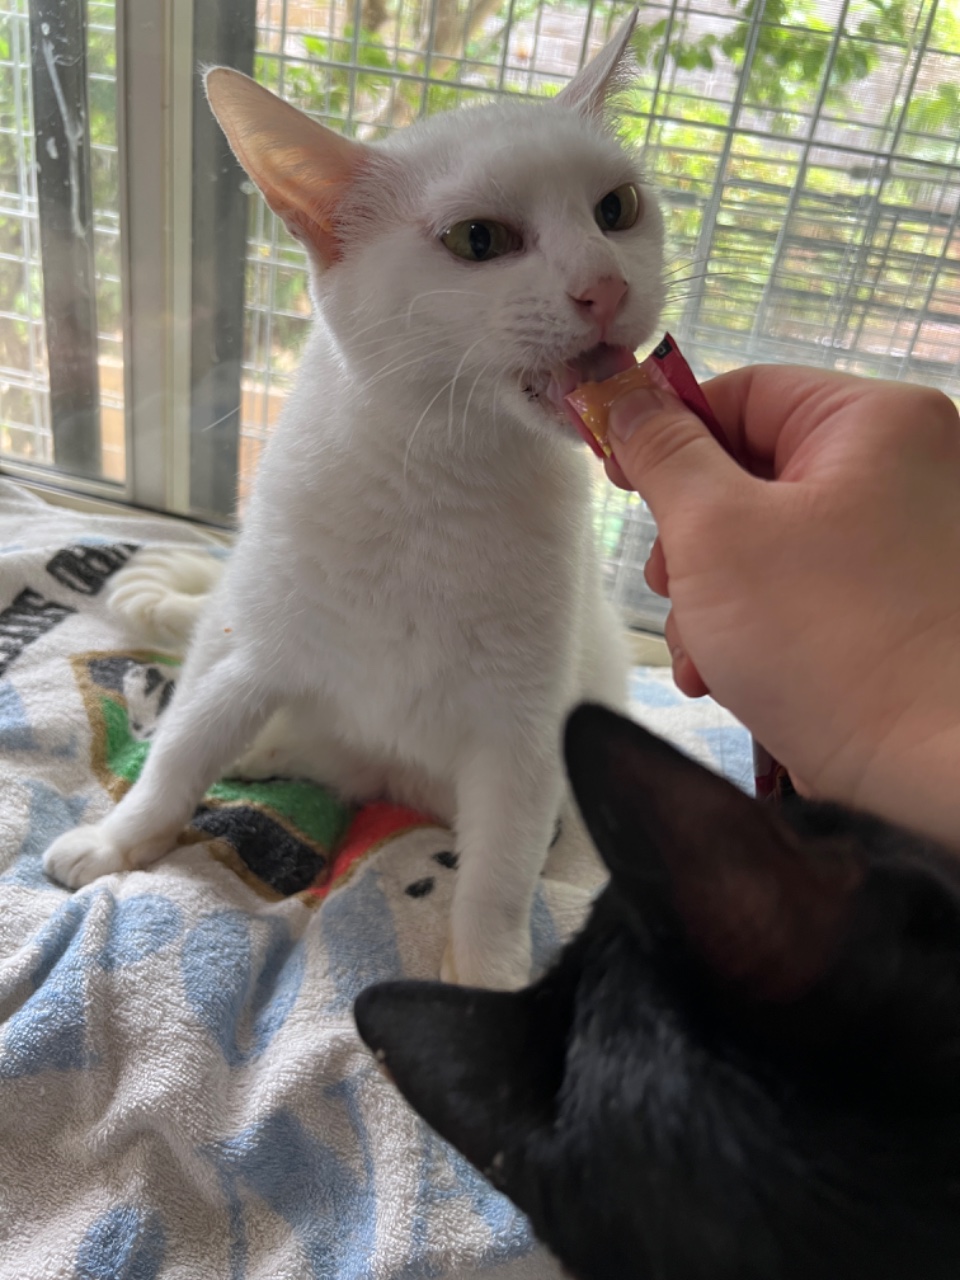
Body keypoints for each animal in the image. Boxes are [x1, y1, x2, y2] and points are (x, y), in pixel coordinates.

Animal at [42, 11, 665, 990]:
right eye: (479, 240)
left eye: (617, 210)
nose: (606, 285)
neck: (439, 477)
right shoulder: (251, 657)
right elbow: (178, 759)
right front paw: (117, 840)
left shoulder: (521, 738)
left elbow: (497, 880)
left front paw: (486, 979)